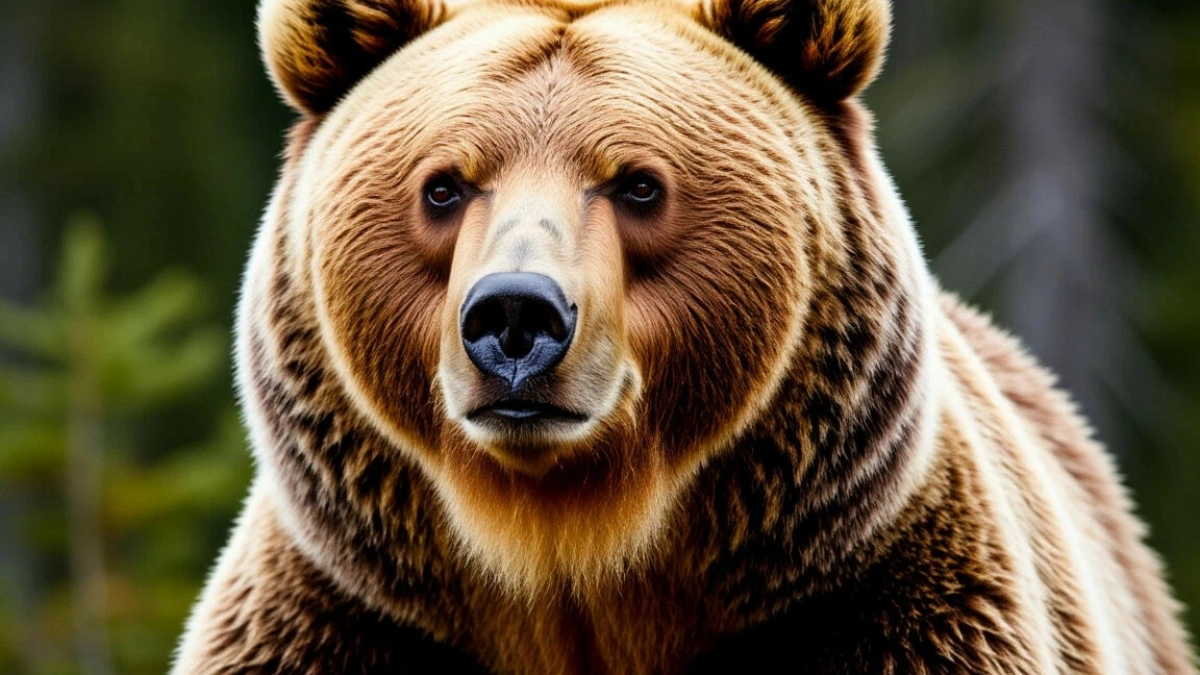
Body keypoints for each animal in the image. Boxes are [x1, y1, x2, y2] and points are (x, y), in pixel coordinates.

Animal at [172, 0, 1198, 672]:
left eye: (637, 182)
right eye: (445, 184)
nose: (516, 316)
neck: (569, 553)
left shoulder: (886, 604)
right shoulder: (342, 621)